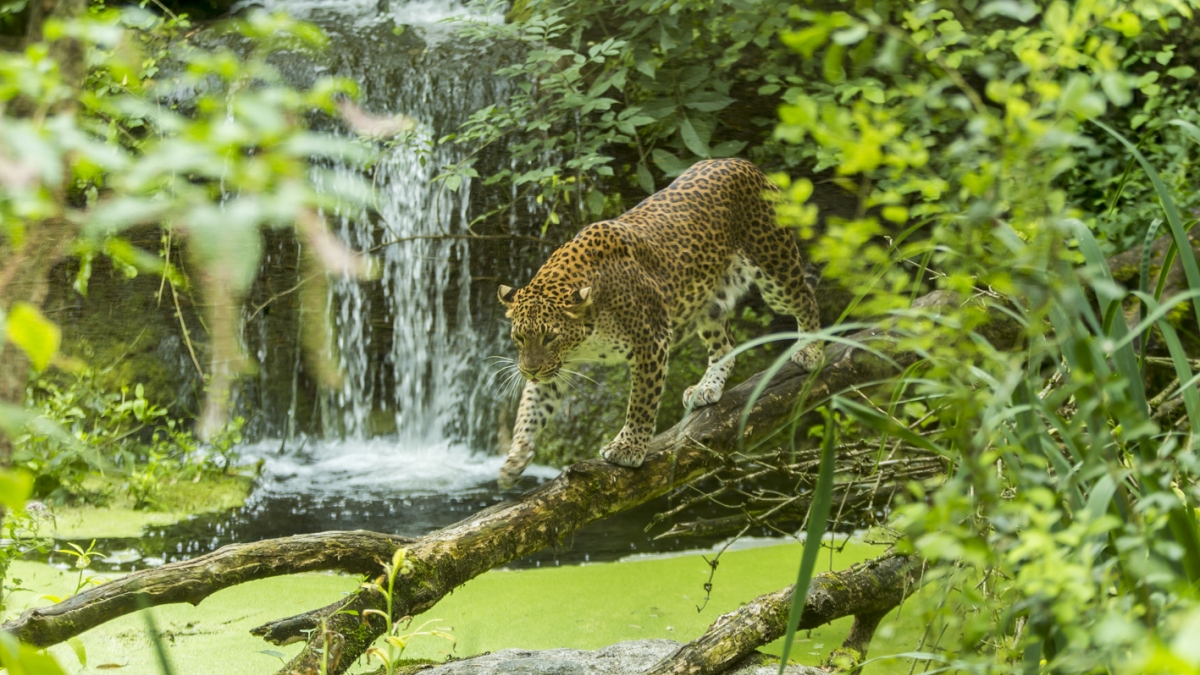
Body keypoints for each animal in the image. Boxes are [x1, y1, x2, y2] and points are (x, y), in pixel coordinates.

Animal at [492, 157, 820, 482]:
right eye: (519, 337)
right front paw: (515, 457)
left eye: (550, 337)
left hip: (774, 267)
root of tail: (742, 163)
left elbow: (641, 403)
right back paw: (706, 388)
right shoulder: (556, 365)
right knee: (725, 346)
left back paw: (811, 350)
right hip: (710, 303)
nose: (528, 370)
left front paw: (628, 448)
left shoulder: (651, 342)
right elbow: (533, 405)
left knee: (807, 297)